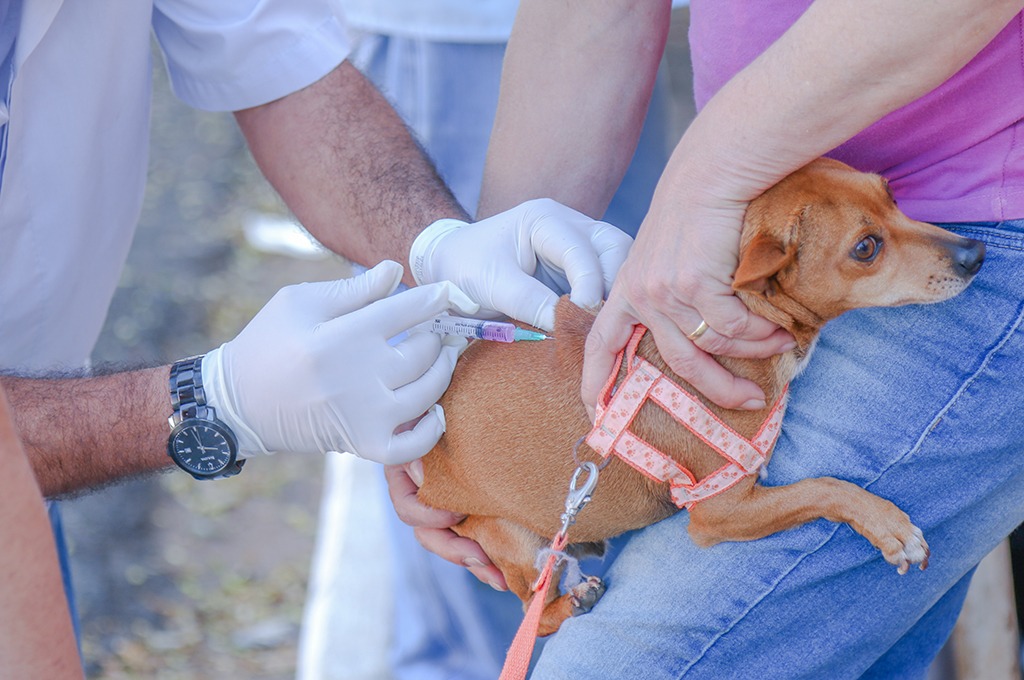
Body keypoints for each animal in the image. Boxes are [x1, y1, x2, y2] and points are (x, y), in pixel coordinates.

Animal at [413, 156, 983, 634]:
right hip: (515, 541)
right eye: (866, 248)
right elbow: (824, 487)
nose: (975, 254)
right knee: (534, 610)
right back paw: (571, 602)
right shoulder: (721, 511)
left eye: (890, 192)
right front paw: (888, 525)